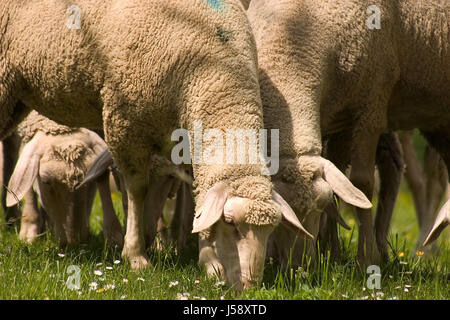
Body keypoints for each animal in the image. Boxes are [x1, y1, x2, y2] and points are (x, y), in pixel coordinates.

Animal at [246, 0, 450, 264]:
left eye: (318, 209)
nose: (297, 264)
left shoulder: (371, 107)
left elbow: (361, 183)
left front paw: (365, 259)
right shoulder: (336, 118)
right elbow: (339, 178)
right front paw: (331, 252)